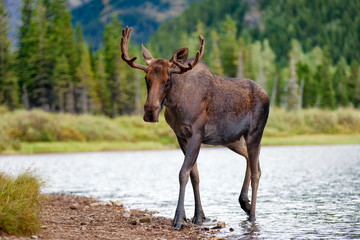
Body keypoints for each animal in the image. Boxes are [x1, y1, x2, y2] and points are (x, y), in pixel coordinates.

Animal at [119, 26, 268, 227]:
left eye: (167, 81)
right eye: (146, 78)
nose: (150, 112)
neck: (176, 104)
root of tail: (267, 95)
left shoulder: (197, 133)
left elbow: (183, 172)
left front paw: (179, 218)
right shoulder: (181, 136)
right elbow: (194, 175)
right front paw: (198, 216)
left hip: (254, 133)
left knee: (256, 172)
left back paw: (252, 215)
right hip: (234, 139)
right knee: (251, 161)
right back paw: (244, 202)